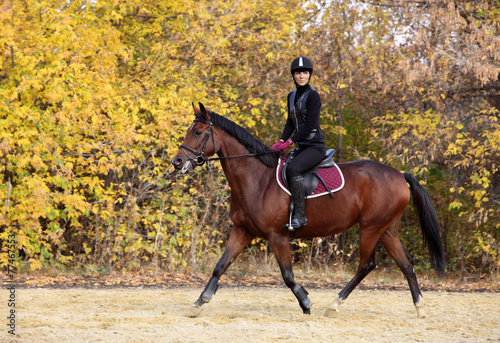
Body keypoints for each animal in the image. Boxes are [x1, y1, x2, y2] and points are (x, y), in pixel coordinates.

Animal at [171, 103, 446, 320]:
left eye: (198, 132)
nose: (177, 162)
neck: (257, 179)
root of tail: (399, 174)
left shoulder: (277, 236)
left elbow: (287, 275)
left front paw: (305, 301)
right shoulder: (242, 231)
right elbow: (220, 266)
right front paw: (199, 302)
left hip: (371, 227)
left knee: (366, 265)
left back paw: (334, 305)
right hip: (388, 229)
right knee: (406, 264)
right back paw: (420, 307)